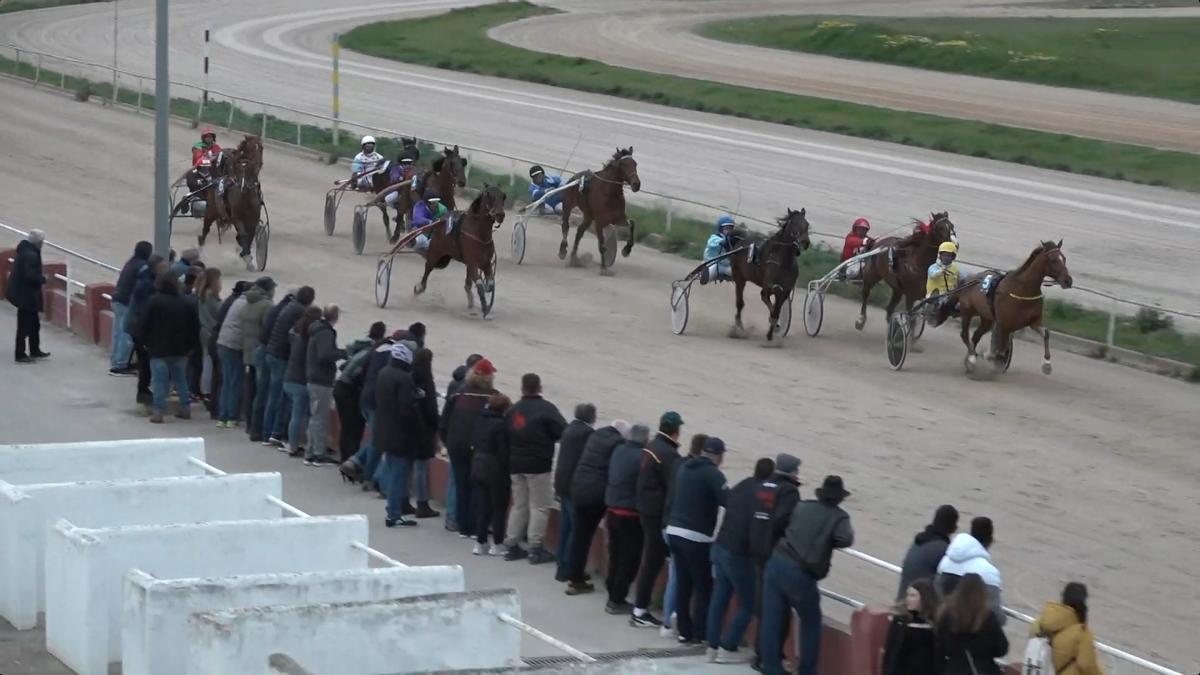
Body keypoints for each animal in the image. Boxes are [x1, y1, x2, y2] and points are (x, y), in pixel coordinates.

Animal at [199, 133, 265, 270]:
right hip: (211, 211)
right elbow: (243, 234)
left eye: (261, 148)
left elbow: (250, 235)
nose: (257, 165)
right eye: (250, 148)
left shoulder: (253, 218)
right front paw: (245, 255)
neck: (245, 189)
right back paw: (200, 252)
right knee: (205, 230)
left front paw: (247, 257)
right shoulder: (236, 217)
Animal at [412, 182, 506, 312]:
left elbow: (490, 285)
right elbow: (480, 285)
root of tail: (440, 221)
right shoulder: (472, 262)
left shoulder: (485, 262)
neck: (480, 235)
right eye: (488, 195)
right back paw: (419, 288)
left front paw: (485, 299)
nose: (500, 215)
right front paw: (485, 308)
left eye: (503, 196)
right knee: (428, 267)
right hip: (436, 252)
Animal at [724, 206, 811, 341]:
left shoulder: (786, 289)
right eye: (794, 223)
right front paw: (773, 328)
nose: (805, 242)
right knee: (740, 303)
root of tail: (741, 239)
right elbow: (769, 301)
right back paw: (739, 329)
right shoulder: (769, 286)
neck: (783, 261)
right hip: (739, 277)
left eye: (807, 224)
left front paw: (772, 332)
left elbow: (777, 308)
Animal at [960, 237, 1075, 374]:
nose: (1068, 281)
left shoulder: (1033, 322)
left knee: (976, 337)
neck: (1023, 290)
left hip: (986, 318)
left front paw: (1047, 364)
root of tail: (968, 278)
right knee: (965, 335)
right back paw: (972, 358)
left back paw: (970, 359)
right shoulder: (1005, 325)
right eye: (1053, 260)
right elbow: (999, 349)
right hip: (967, 311)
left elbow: (1046, 333)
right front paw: (989, 355)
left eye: (1064, 258)